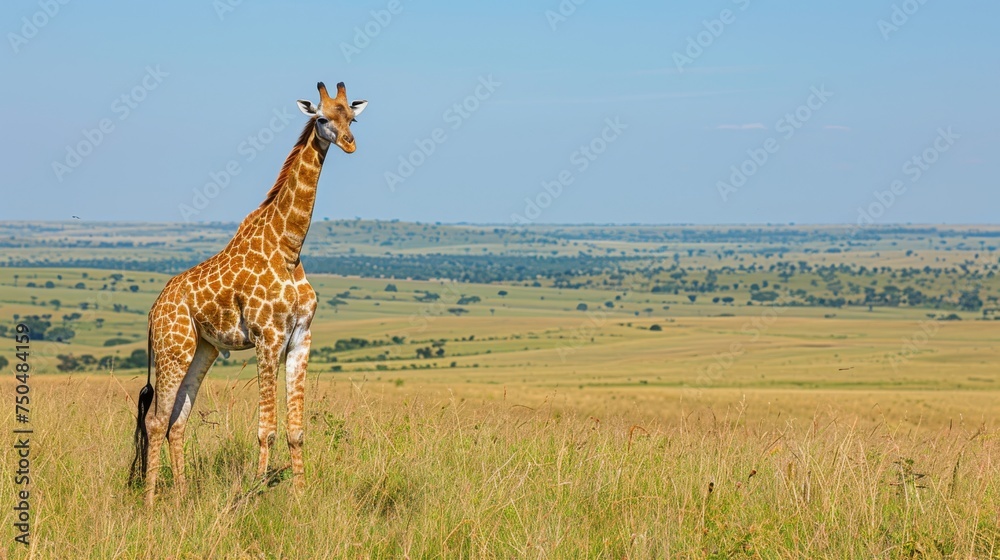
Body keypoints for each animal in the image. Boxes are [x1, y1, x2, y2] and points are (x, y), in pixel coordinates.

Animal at [128, 81, 368, 504]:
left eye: (352, 118)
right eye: (322, 118)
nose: (350, 143)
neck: (289, 248)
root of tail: (154, 310)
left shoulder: (301, 337)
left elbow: (295, 430)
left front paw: (300, 496)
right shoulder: (267, 338)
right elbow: (266, 429)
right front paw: (259, 490)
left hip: (202, 349)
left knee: (177, 420)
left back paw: (182, 496)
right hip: (173, 348)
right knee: (156, 419)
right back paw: (151, 501)